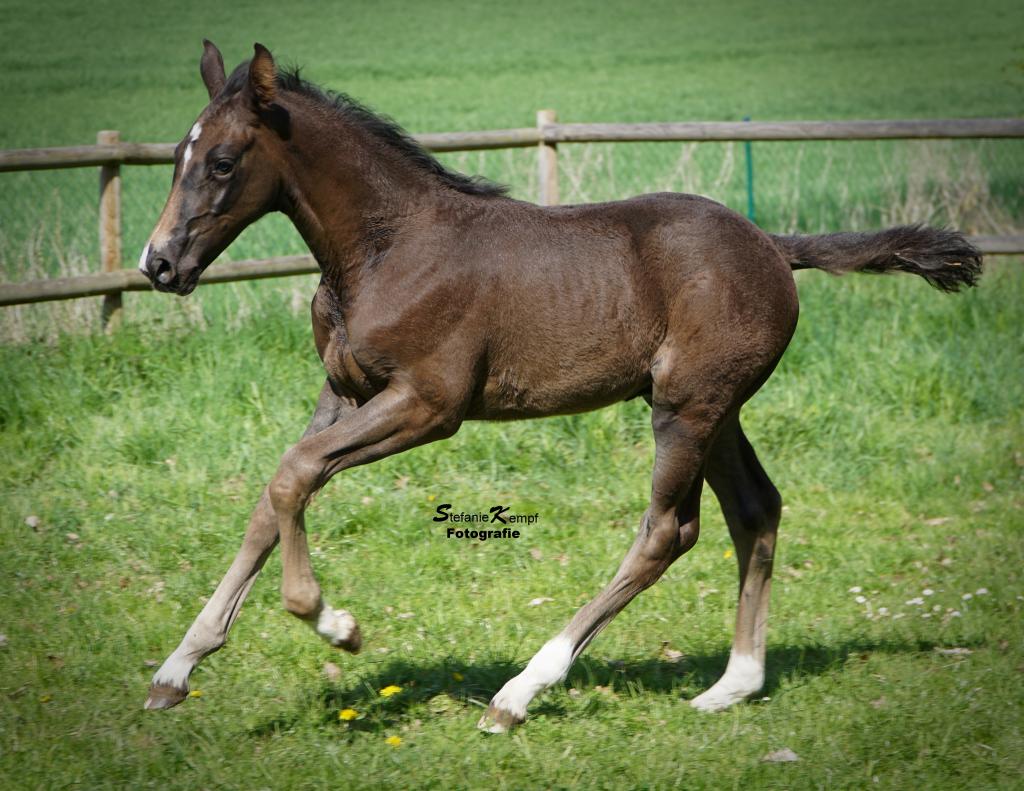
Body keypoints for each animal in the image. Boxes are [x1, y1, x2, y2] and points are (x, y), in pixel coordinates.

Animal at [138, 41, 981, 732]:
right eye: (177, 157)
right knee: (754, 509)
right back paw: (732, 685)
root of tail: (773, 245)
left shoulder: (429, 404)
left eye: (222, 162)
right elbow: (274, 495)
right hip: (715, 409)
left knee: (667, 532)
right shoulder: (340, 393)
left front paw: (333, 622)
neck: (388, 247)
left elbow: (293, 476)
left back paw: (519, 693)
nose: (159, 264)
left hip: (687, 408)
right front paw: (176, 669)